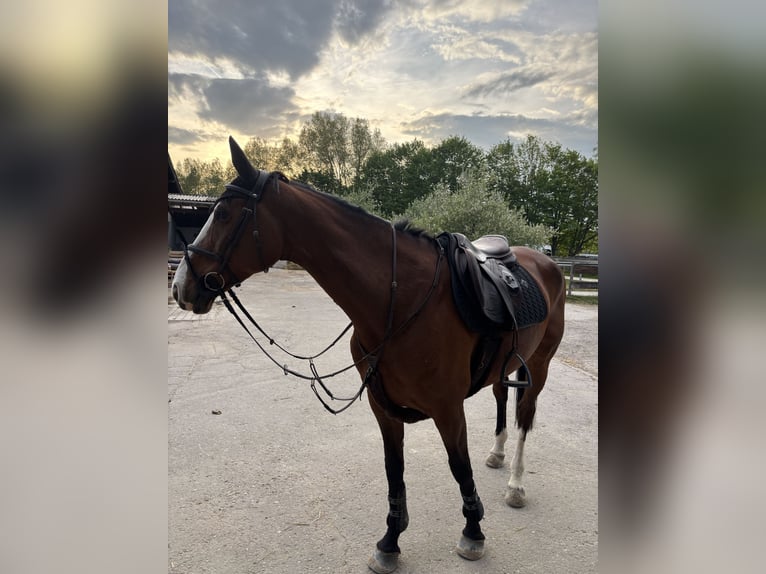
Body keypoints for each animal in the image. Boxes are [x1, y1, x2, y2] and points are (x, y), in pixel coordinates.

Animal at [171, 137, 566, 573]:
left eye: (224, 213)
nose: (181, 286)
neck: (401, 299)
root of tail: (543, 260)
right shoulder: (383, 406)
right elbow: (394, 471)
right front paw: (391, 541)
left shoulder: (447, 407)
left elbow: (458, 466)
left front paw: (473, 532)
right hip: (506, 364)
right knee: (500, 398)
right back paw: (496, 454)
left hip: (540, 366)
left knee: (525, 415)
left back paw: (515, 482)